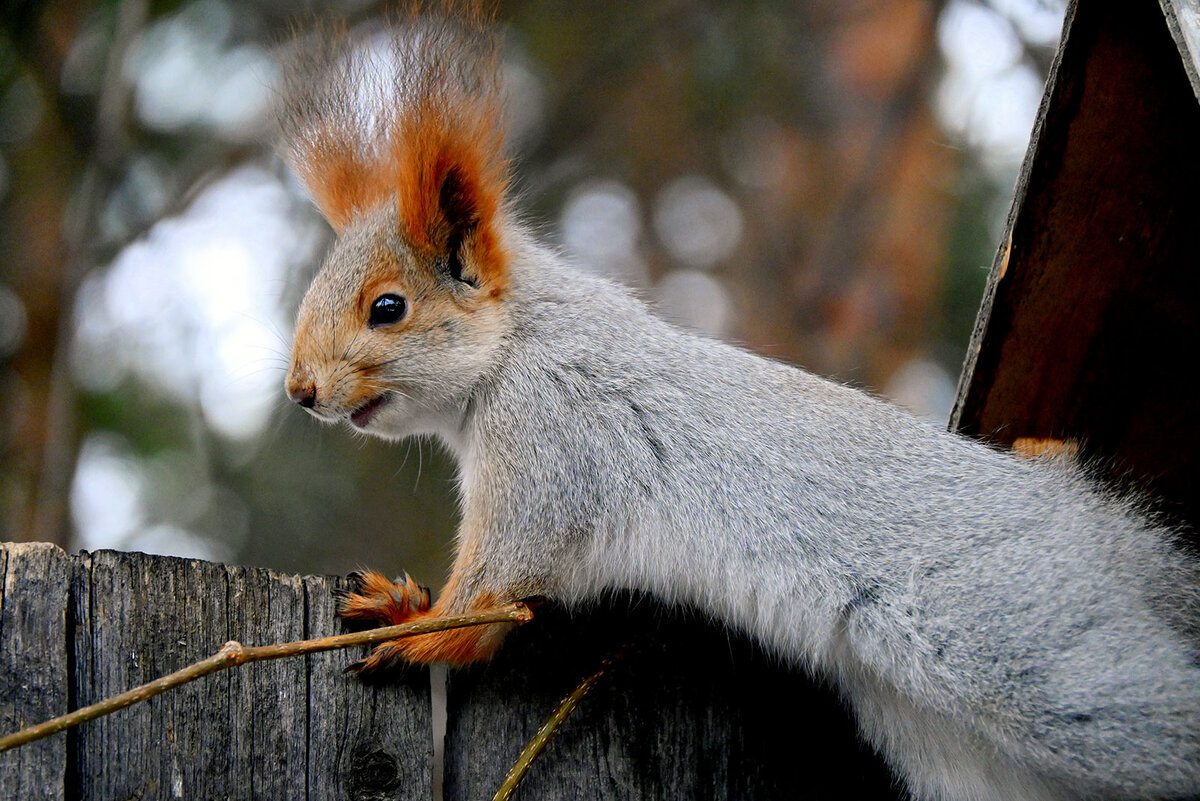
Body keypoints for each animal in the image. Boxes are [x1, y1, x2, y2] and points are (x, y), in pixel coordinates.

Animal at [276, 7, 1200, 801]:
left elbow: (489, 601)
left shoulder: (549, 450)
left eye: (386, 308)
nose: (300, 390)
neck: (516, 348)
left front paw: (404, 620)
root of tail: (1110, 532)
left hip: (1024, 649)